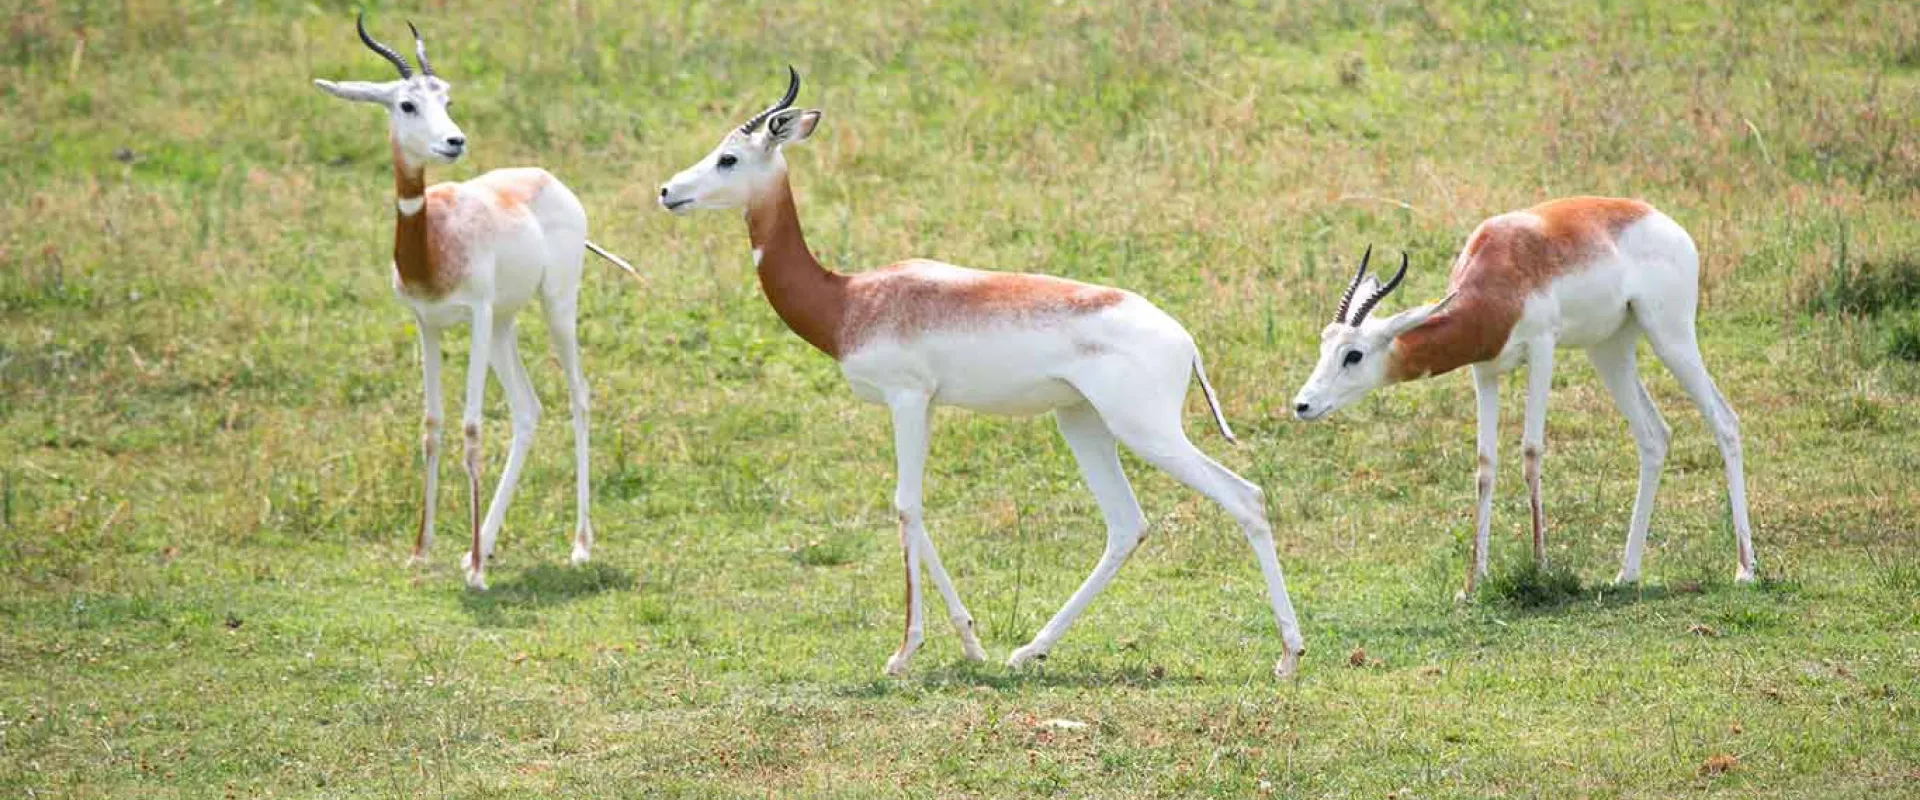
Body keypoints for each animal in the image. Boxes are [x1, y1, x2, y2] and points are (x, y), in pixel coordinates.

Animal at [312, 14, 638, 590]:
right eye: (407, 104)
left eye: (447, 97)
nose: (454, 141)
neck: (433, 243)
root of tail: (548, 178)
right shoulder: (428, 324)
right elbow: (432, 426)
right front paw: (421, 551)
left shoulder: (477, 316)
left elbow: (471, 428)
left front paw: (478, 576)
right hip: (507, 324)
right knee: (528, 410)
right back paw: (477, 547)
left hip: (554, 307)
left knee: (578, 396)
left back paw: (577, 546)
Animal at [657, 68, 1305, 678]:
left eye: (729, 157)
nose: (668, 191)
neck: (847, 298)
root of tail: (1184, 339)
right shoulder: (926, 405)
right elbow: (916, 511)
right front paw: (971, 643)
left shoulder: (906, 398)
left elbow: (905, 505)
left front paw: (902, 653)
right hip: (1082, 423)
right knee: (1127, 525)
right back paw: (1029, 650)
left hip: (1145, 431)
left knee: (1245, 497)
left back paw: (1288, 655)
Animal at [1290, 198, 1757, 594]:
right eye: (1324, 343)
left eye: (1353, 354)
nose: (1302, 405)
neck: (1497, 278)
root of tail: (1662, 218)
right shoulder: (1484, 371)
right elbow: (1485, 466)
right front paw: (1472, 583)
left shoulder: (1542, 349)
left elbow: (1531, 452)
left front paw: (1539, 567)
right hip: (1609, 348)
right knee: (1654, 436)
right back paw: (1626, 573)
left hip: (1670, 334)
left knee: (1725, 420)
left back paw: (1745, 569)